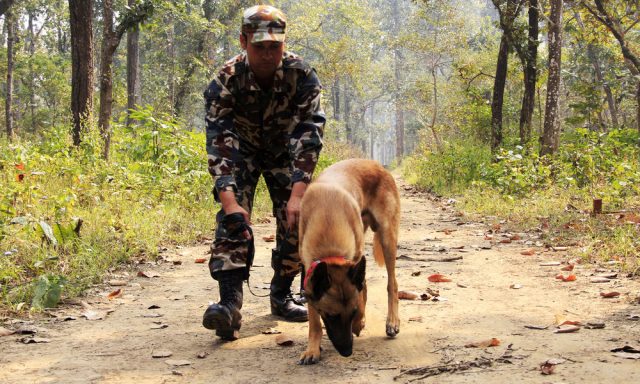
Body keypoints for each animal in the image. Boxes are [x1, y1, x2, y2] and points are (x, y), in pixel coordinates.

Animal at [296, 158, 398, 364]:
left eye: (351, 313)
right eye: (330, 316)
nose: (347, 351)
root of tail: (377, 164)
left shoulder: (355, 259)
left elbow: (361, 295)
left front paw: (358, 323)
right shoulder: (309, 271)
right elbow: (314, 321)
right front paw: (312, 349)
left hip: (387, 237)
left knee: (392, 283)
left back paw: (392, 321)